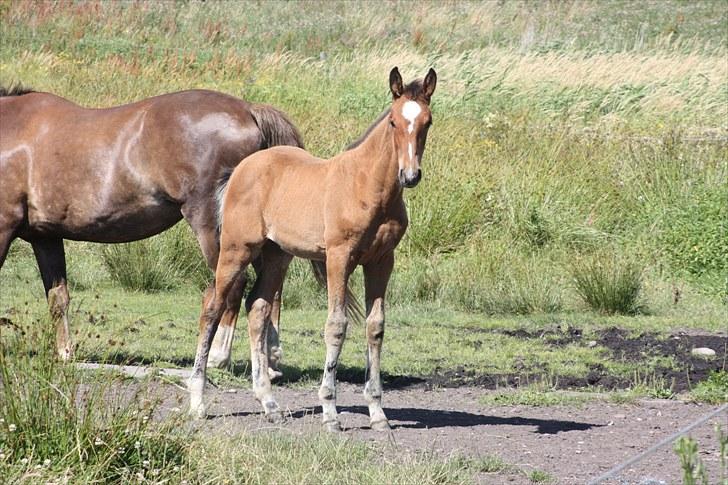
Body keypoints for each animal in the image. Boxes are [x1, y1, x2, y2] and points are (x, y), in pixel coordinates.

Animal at [0, 87, 302, 370]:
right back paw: (271, 357)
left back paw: (219, 356)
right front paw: (65, 353)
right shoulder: (46, 237)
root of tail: (248, 110)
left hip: (213, 228)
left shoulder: (5, 228)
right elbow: (58, 297)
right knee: (270, 284)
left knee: (234, 284)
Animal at [189, 65, 438, 432]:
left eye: (427, 122)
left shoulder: (381, 261)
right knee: (212, 307)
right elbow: (336, 326)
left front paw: (378, 412)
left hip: (277, 255)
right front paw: (330, 411)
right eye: (393, 121)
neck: (368, 186)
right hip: (236, 249)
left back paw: (269, 403)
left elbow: (375, 326)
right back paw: (198, 402)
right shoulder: (339, 256)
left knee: (257, 308)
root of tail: (240, 169)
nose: (410, 175)